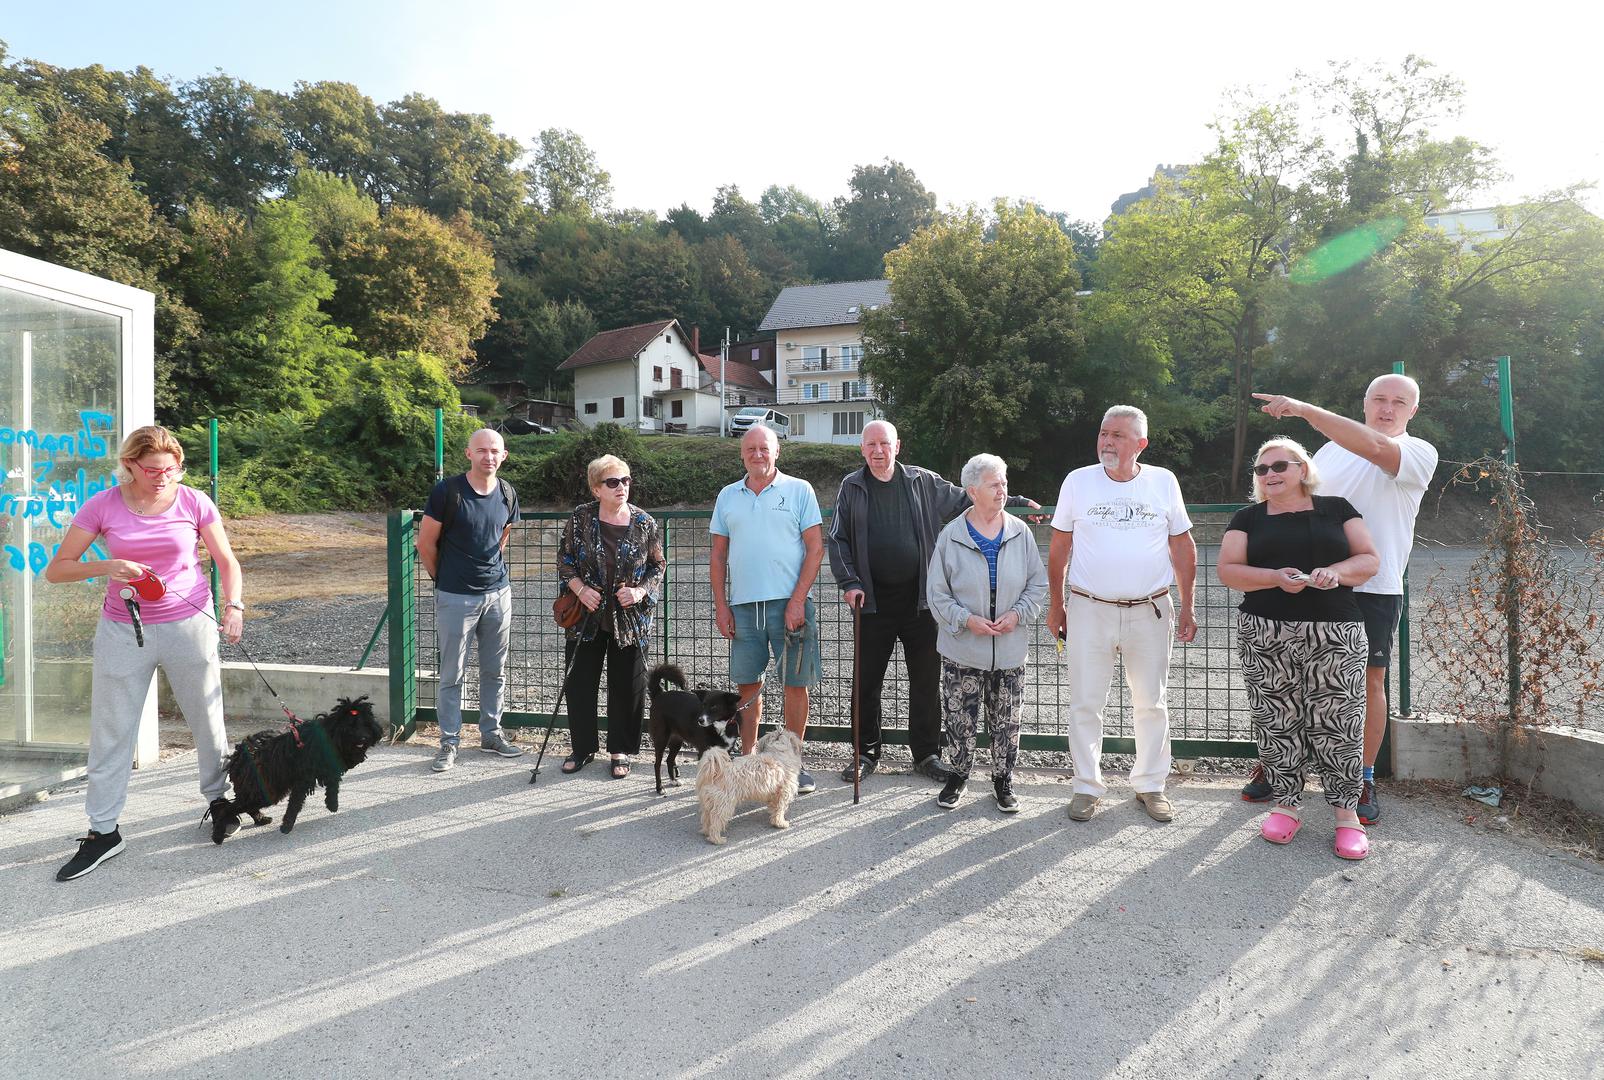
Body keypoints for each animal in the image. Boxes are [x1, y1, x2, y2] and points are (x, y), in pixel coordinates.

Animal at [210, 690, 384, 840]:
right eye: (351, 725)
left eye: (366, 724)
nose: (364, 738)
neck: (331, 734)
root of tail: (239, 755)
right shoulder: (303, 780)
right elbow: (295, 803)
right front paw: (287, 825)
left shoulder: (327, 770)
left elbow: (332, 786)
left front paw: (332, 804)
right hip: (263, 790)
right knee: (229, 809)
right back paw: (218, 835)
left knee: (245, 806)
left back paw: (260, 819)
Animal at [644, 661, 744, 795]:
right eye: (704, 705)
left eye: (714, 707)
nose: (700, 720)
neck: (719, 726)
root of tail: (659, 694)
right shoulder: (704, 752)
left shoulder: (725, 751)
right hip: (661, 739)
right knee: (657, 764)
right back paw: (659, 788)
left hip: (676, 740)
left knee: (669, 760)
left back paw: (673, 780)